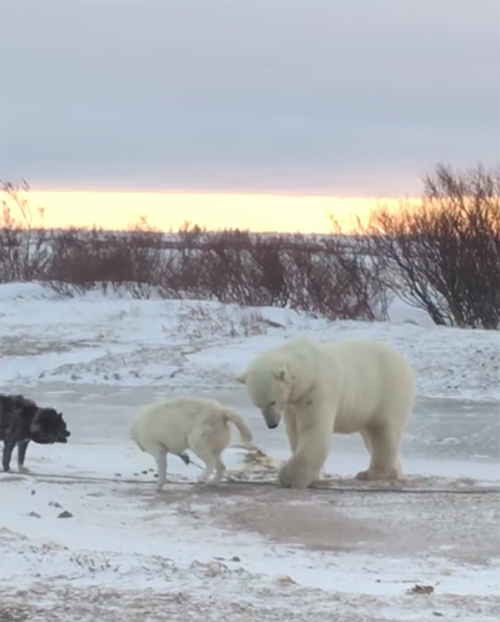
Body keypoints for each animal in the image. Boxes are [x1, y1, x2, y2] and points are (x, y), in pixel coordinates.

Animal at [236, 334, 416, 490]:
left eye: (273, 401)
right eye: (258, 405)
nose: (271, 424)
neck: (309, 365)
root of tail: (404, 363)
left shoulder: (317, 390)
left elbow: (313, 428)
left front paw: (289, 478)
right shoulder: (293, 403)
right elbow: (294, 430)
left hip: (388, 393)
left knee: (383, 432)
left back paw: (374, 473)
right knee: (370, 434)